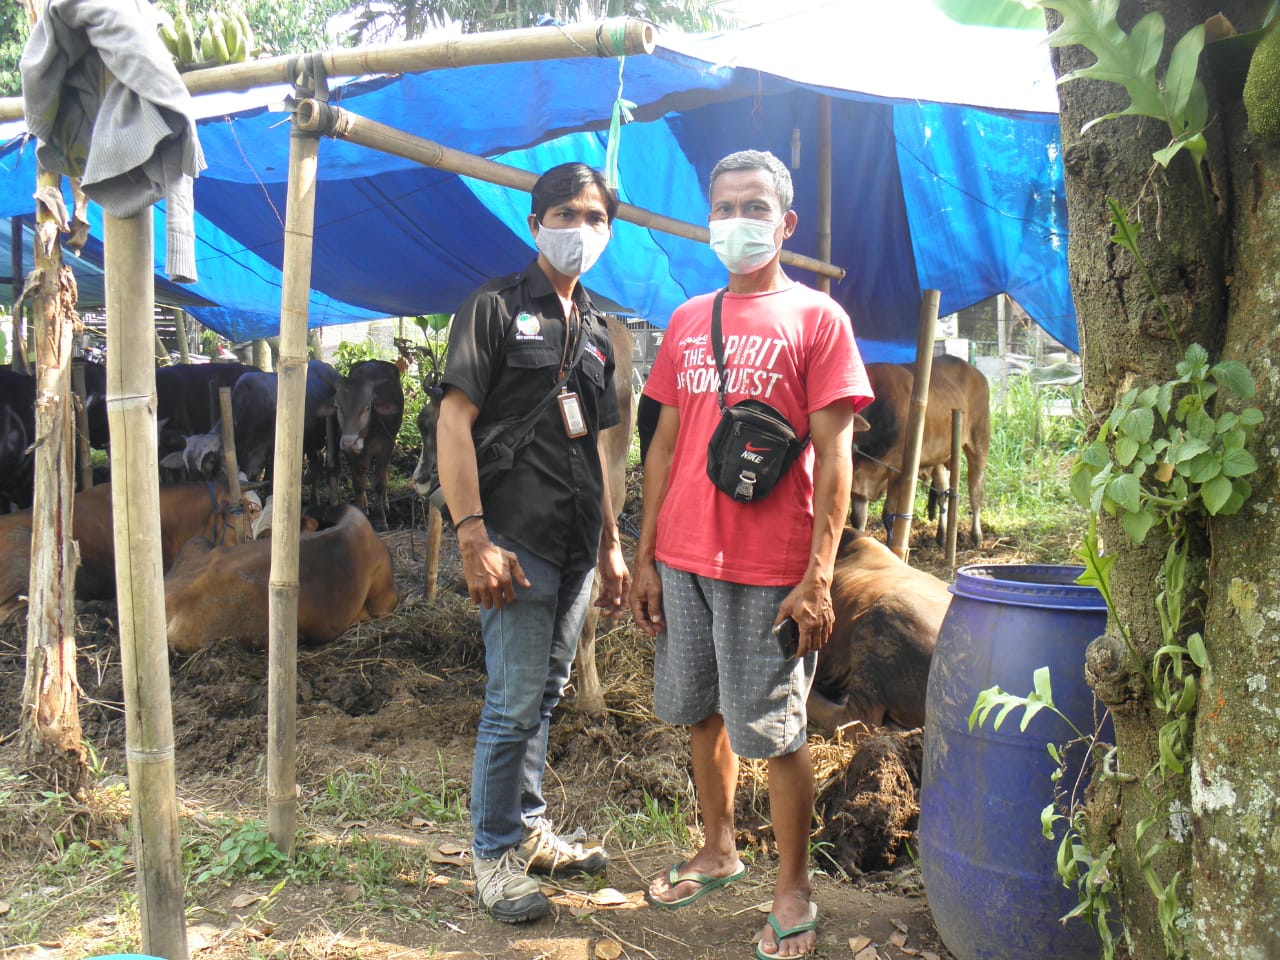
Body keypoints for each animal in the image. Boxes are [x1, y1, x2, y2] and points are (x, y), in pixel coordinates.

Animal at [317, 358, 401, 529]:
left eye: (367, 407)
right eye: (338, 407)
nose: (350, 442)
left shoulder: (386, 446)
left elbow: (379, 483)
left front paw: (381, 520)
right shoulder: (350, 454)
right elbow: (359, 483)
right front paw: (362, 512)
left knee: (385, 474)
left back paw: (385, 505)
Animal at [855, 355, 993, 547]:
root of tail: (976, 372)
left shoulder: (898, 471)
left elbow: (889, 515)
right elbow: (858, 520)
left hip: (979, 440)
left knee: (975, 490)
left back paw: (977, 536)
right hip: (940, 457)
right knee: (943, 492)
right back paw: (942, 535)